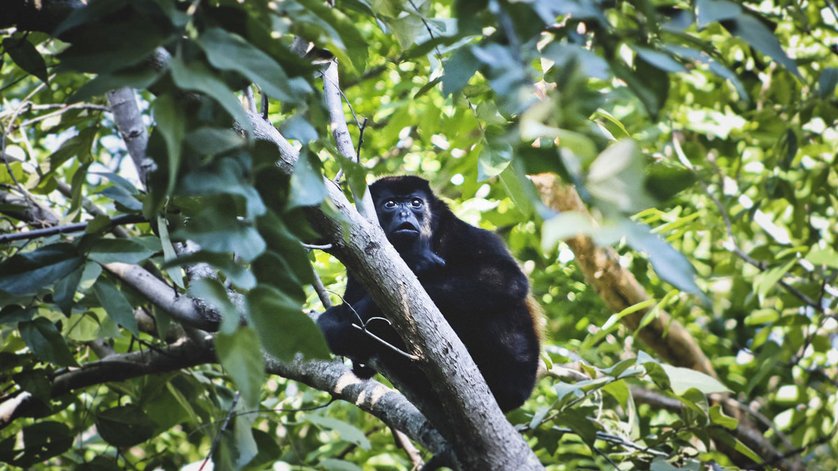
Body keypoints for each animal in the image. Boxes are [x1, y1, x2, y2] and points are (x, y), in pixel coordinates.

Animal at [316, 176, 541, 412]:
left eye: (416, 203)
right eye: (390, 204)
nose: (404, 214)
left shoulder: (463, 233)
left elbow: (508, 278)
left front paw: (368, 306)